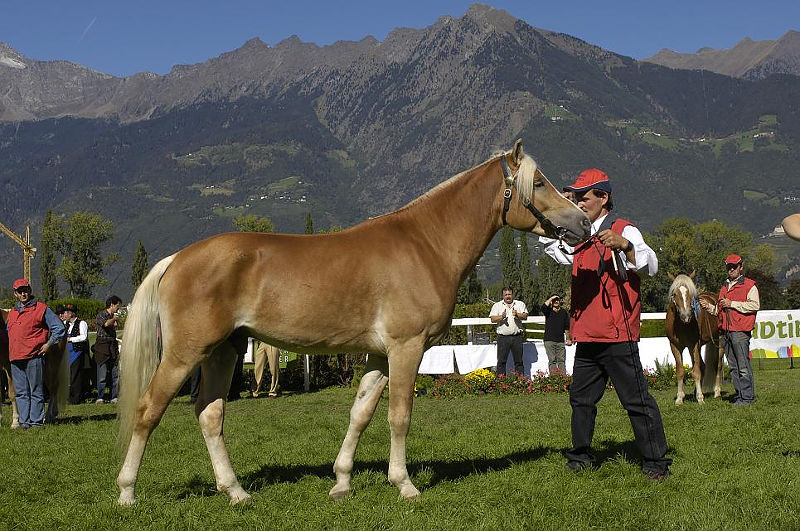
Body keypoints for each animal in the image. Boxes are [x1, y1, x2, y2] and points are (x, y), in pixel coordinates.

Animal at [115, 139, 592, 504]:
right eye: (540, 183)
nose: (584, 222)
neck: (425, 245)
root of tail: (178, 258)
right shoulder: (406, 348)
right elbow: (399, 416)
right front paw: (405, 485)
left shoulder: (379, 356)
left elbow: (360, 413)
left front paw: (342, 482)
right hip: (185, 354)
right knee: (148, 410)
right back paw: (127, 492)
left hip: (222, 353)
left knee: (210, 414)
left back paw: (236, 492)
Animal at [664, 272, 724, 406]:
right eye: (674, 294)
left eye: (691, 294)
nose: (686, 316)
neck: (682, 325)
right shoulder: (675, 346)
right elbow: (680, 371)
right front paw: (680, 398)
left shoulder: (693, 345)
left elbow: (696, 371)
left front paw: (700, 398)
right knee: (703, 365)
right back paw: (696, 391)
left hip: (719, 341)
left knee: (717, 366)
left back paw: (716, 392)